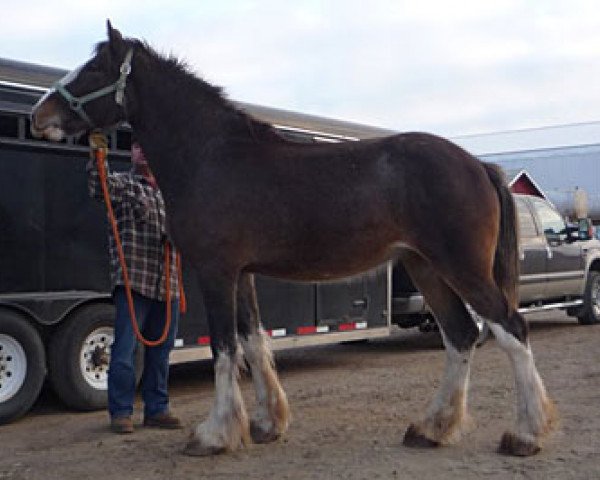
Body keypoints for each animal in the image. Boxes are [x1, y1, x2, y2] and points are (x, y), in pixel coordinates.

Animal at [31, 21, 556, 458]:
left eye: (95, 67)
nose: (39, 114)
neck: (212, 156)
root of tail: (478, 165)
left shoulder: (217, 272)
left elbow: (225, 348)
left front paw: (215, 435)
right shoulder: (242, 274)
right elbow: (253, 342)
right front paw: (266, 425)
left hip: (461, 266)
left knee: (512, 329)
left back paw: (525, 435)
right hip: (426, 267)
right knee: (461, 335)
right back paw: (431, 429)